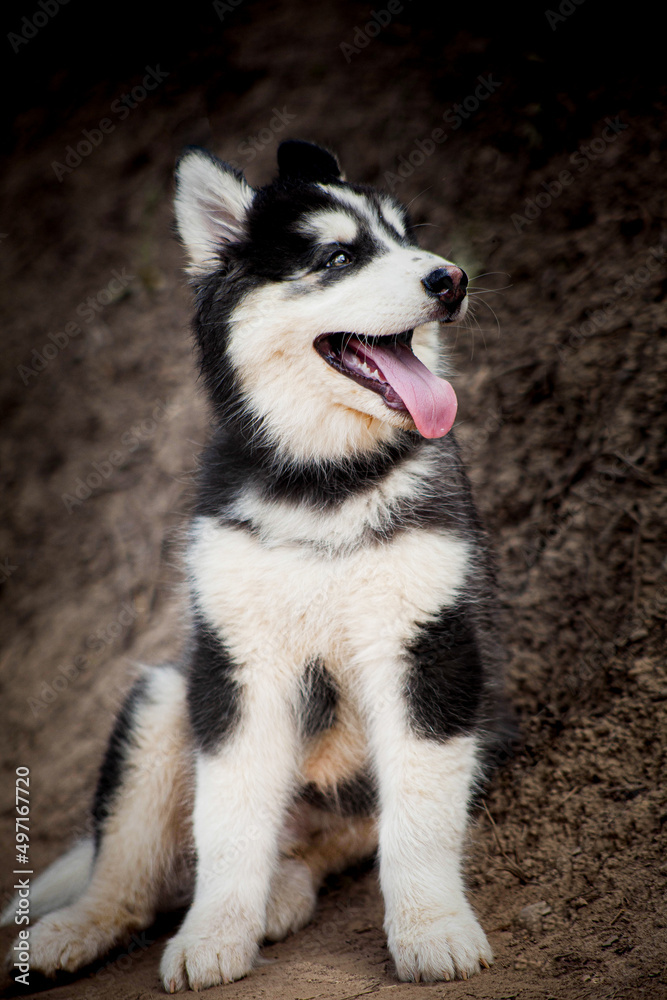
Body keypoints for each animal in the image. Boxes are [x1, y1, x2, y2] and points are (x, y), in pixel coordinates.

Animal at [2, 141, 508, 992]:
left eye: (405, 238)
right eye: (337, 257)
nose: (452, 278)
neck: (323, 482)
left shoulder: (426, 647)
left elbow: (421, 819)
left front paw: (432, 928)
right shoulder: (239, 665)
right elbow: (230, 824)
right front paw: (212, 937)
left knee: (320, 851)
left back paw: (281, 893)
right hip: (165, 699)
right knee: (126, 874)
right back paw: (74, 931)